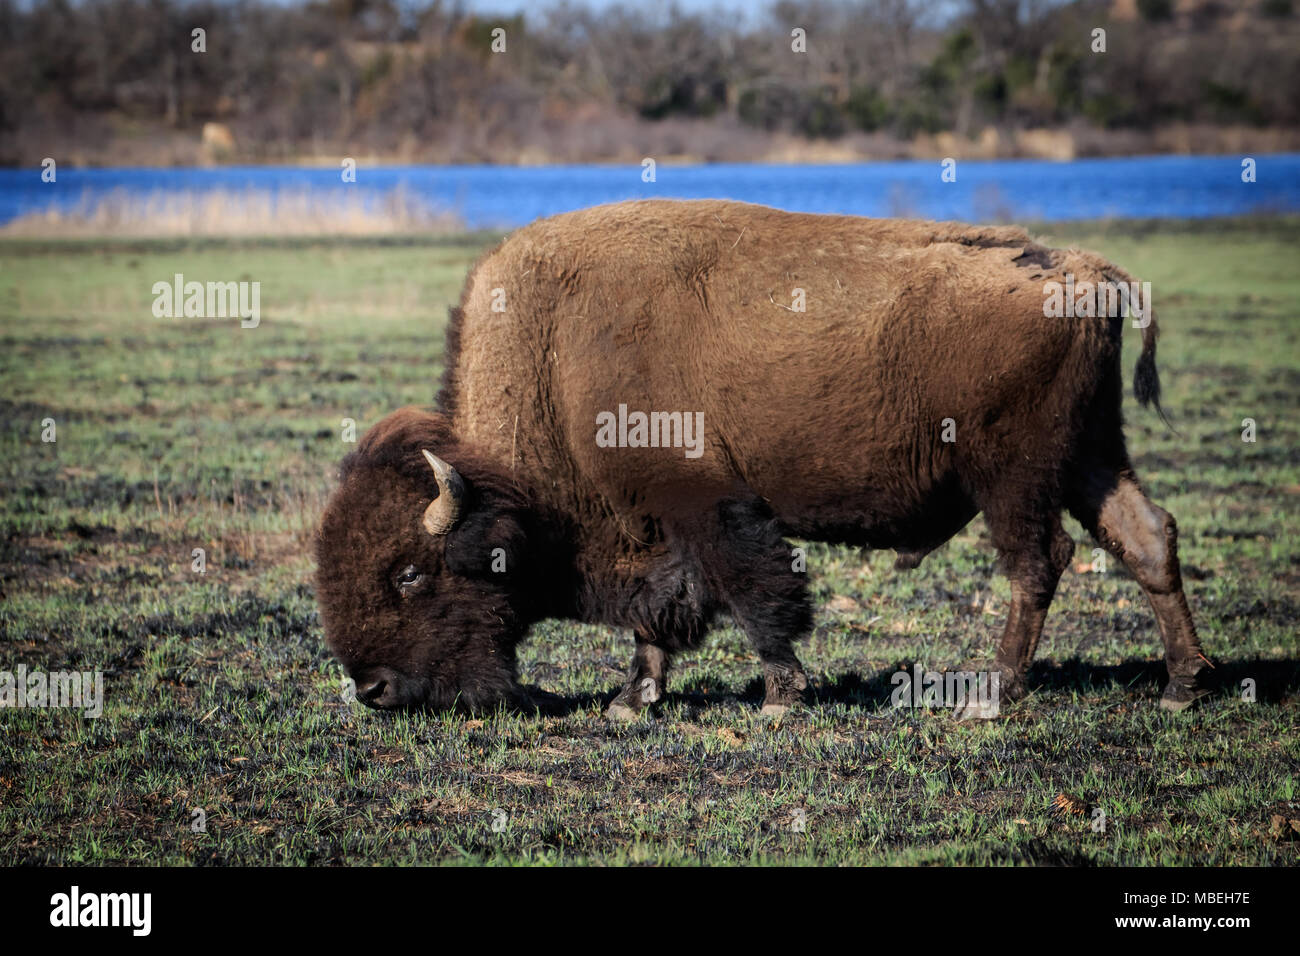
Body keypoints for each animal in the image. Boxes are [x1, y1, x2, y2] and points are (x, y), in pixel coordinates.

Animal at [314, 200, 1206, 717]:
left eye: (409, 574)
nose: (373, 689)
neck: (555, 354)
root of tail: (1086, 269)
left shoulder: (706, 504)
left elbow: (753, 596)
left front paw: (781, 698)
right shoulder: (655, 525)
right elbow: (661, 615)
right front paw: (633, 702)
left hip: (1014, 475)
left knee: (1038, 561)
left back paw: (995, 693)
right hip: (1090, 454)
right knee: (1146, 535)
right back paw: (1182, 687)